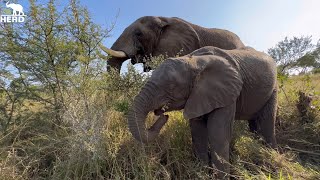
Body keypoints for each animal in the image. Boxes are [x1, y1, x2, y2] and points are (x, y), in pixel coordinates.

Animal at [127, 46, 278, 179]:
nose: (164, 115)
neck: (195, 61)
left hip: (273, 89)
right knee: (255, 125)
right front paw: (203, 174)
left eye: (171, 87)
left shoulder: (227, 92)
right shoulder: (199, 96)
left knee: (267, 123)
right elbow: (198, 133)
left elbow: (217, 134)